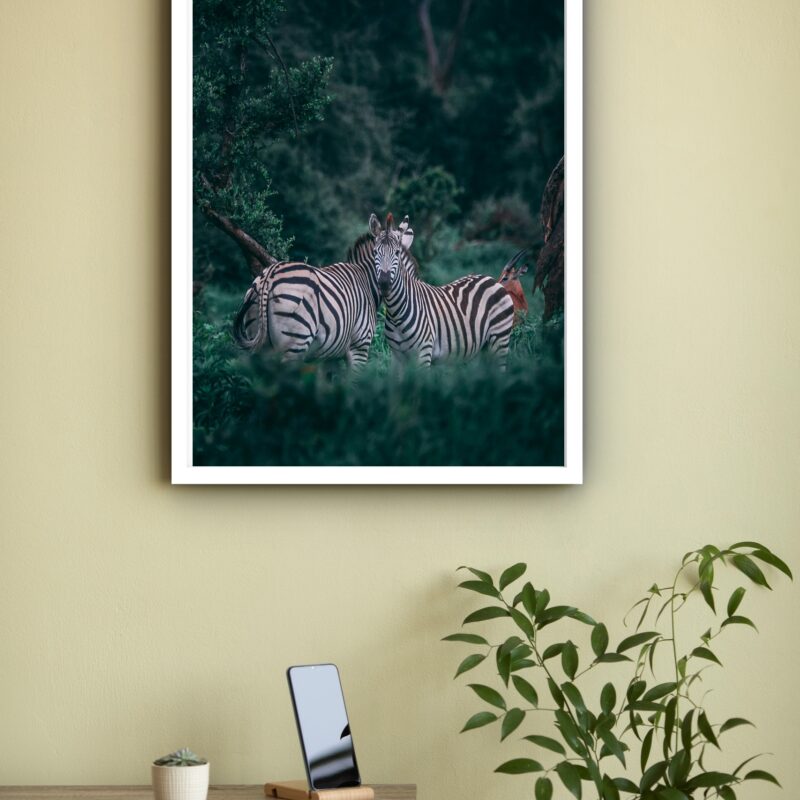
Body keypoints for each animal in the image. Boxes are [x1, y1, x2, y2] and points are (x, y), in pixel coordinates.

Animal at [368, 213, 515, 368]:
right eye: (375, 252)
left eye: (396, 253)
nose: (384, 284)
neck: (396, 313)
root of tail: (491, 279)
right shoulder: (397, 356)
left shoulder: (424, 352)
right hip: (481, 349)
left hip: (500, 340)